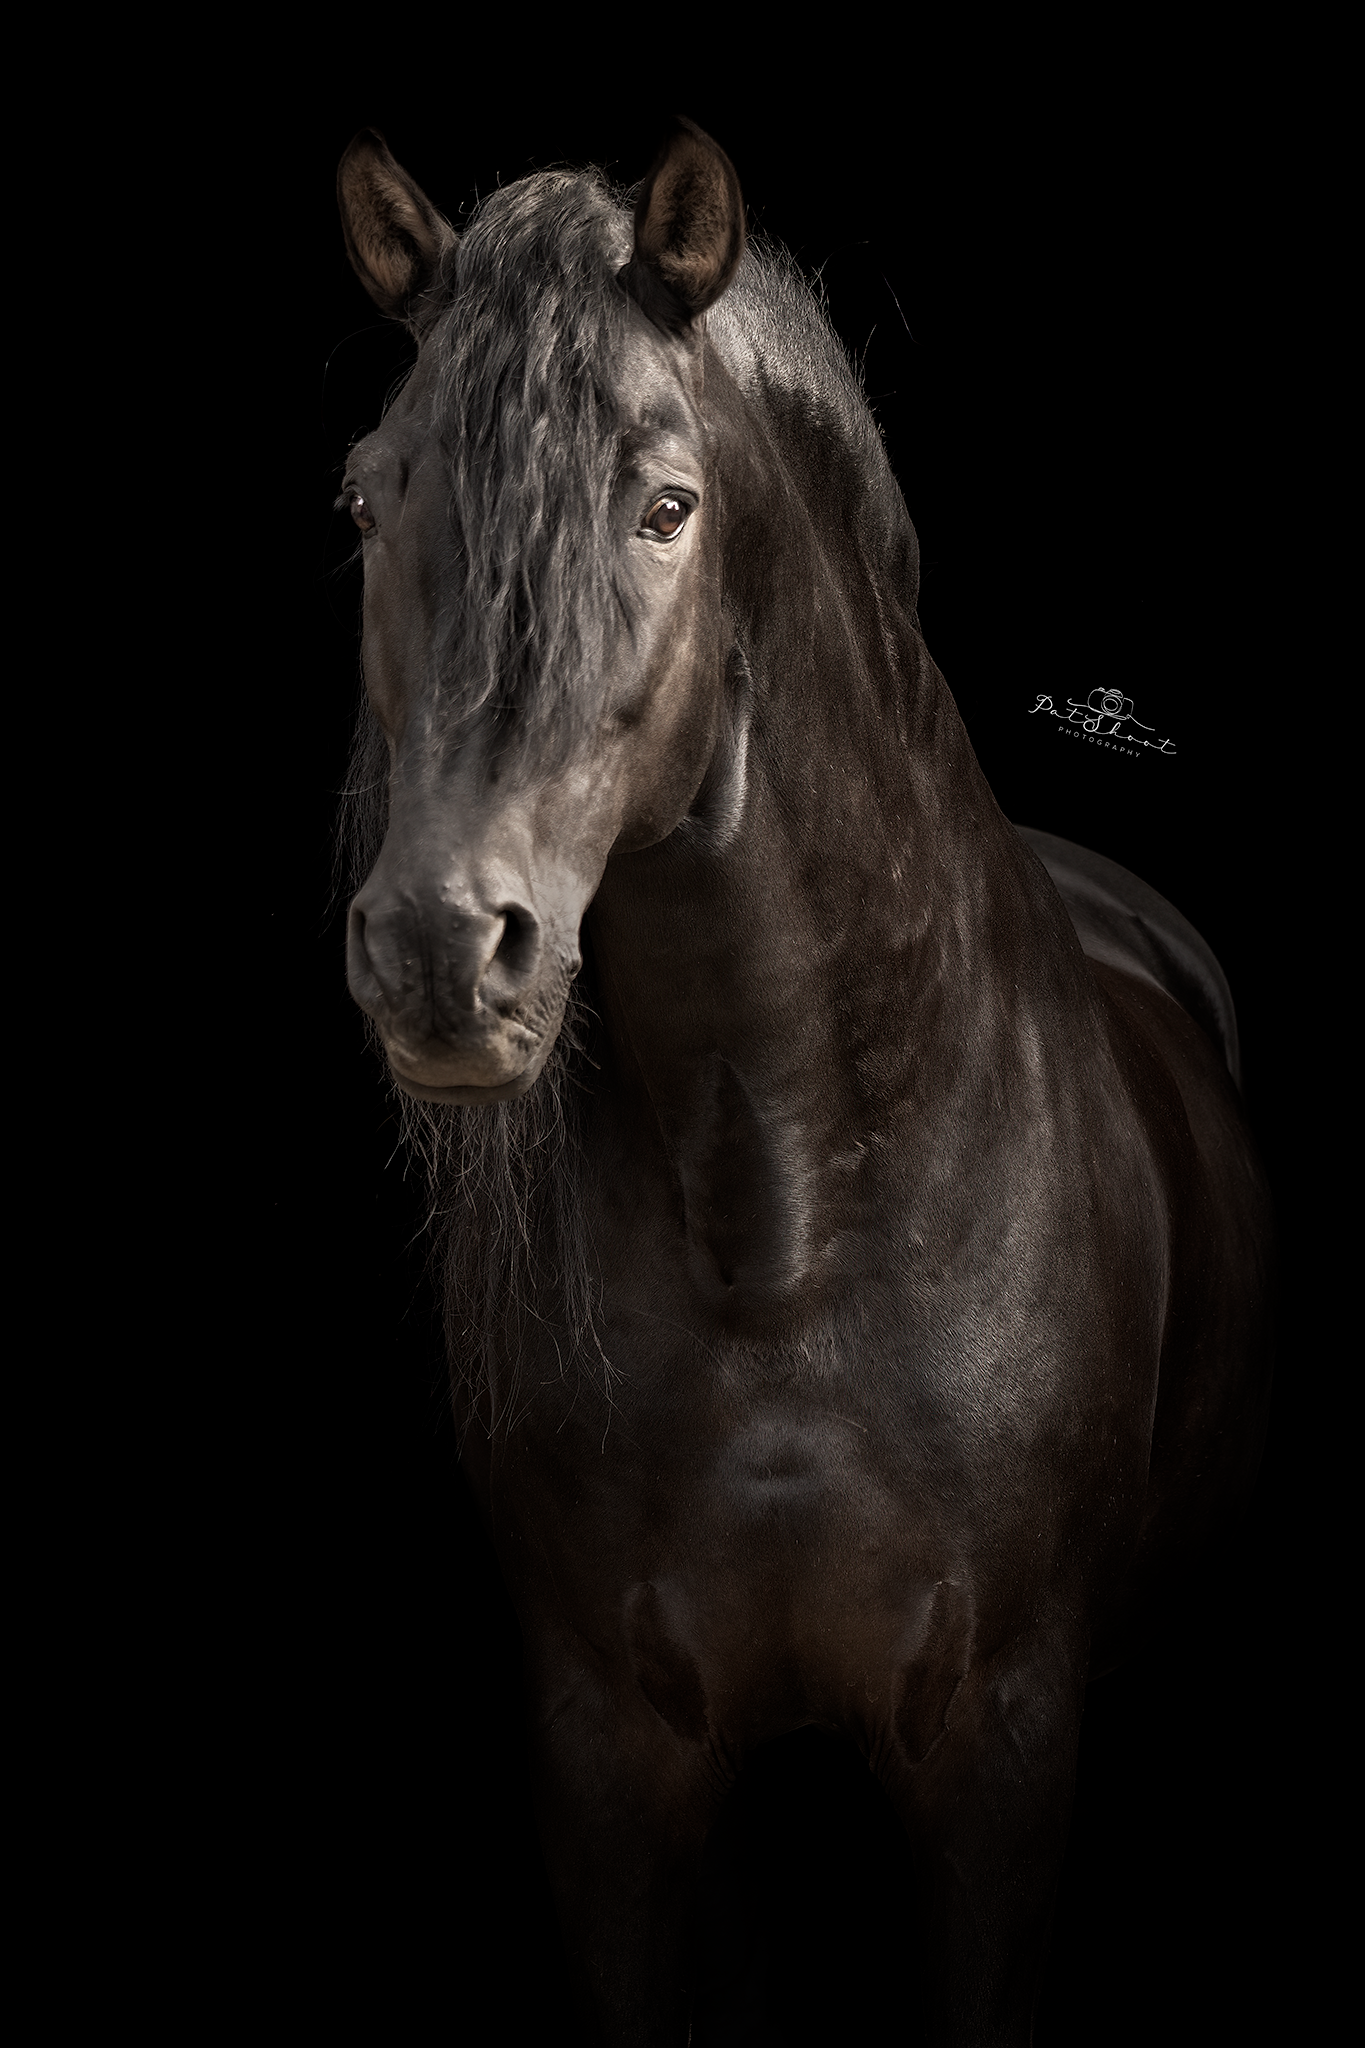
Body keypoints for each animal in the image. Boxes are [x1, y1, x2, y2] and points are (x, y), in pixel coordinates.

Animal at [332, 118, 1274, 2045]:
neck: (783, 1243)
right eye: (370, 500)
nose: (444, 950)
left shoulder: (1001, 1757)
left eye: (666, 506)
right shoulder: (613, 1767)